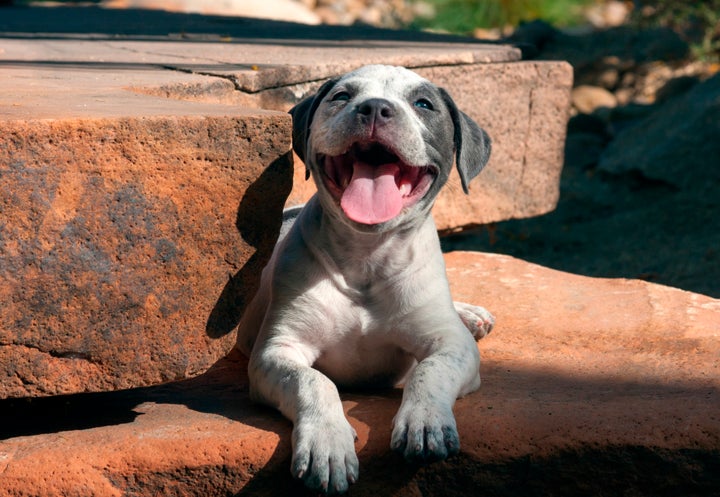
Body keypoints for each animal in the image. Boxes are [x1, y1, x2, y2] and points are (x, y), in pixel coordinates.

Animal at [236, 63, 496, 492]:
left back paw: (470, 314)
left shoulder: (451, 346)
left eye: (423, 104)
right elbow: (315, 382)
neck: (366, 259)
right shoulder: (277, 352)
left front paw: (424, 422)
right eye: (342, 96)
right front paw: (327, 444)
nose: (374, 108)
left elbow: (429, 371)